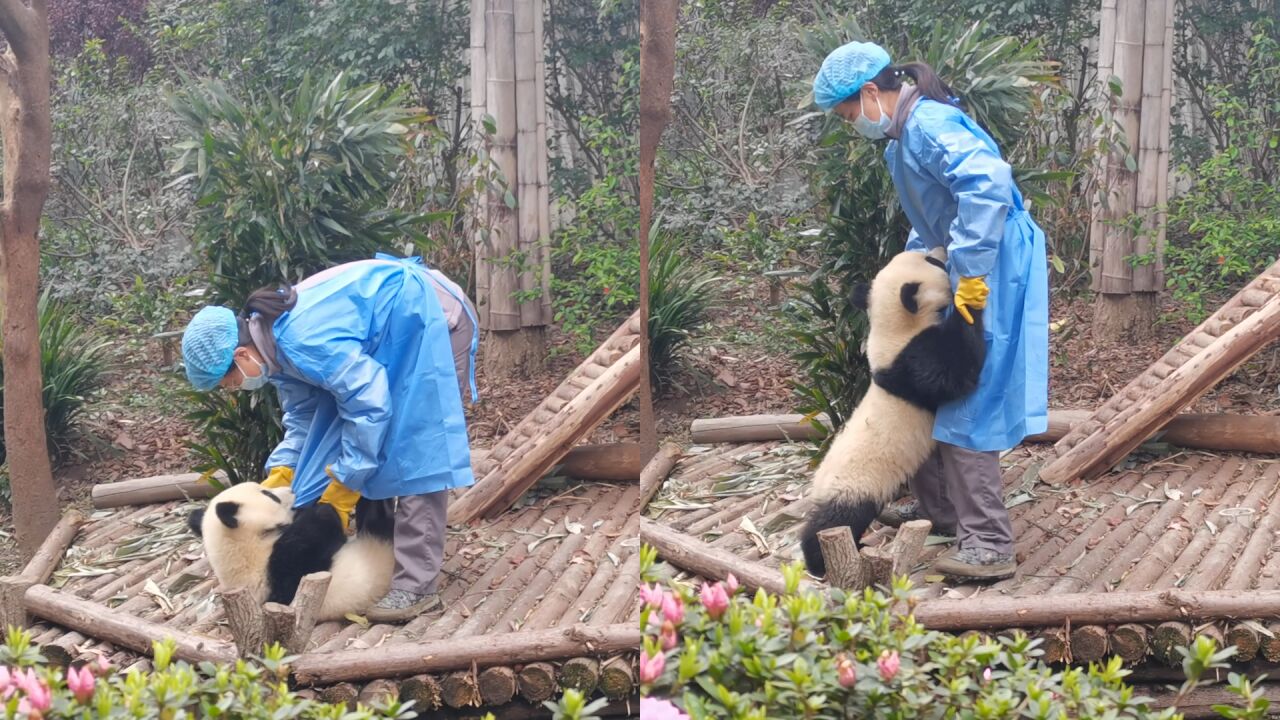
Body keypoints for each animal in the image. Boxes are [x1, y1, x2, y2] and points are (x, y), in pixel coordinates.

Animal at [186, 479, 391, 620]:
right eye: (269, 495)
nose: (291, 489)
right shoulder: (278, 576)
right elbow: (312, 539)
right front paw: (325, 506)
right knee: (379, 523)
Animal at [798, 249, 988, 573]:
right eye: (931, 262)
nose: (940, 250)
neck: (895, 329)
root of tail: (819, 486)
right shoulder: (914, 362)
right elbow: (955, 371)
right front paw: (969, 301)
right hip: (854, 488)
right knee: (835, 522)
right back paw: (818, 561)